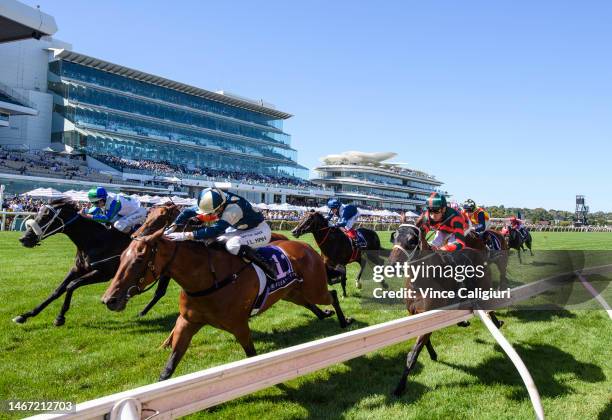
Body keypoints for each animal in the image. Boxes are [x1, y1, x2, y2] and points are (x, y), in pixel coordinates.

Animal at [16, 197, 170, 324]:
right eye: (38, 213)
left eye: (46, 216)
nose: (24, 239)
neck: (94, 240)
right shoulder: (77, 268)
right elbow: (57, 290)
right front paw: (26, 315)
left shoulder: (103, 273)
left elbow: (71, 285)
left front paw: (60, 317)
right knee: (160, 292)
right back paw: (142, 312)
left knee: (160, 292)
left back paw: (142, 312)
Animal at [102, 226, 352, 380]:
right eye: (121, 257)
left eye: (140, 259)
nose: (109, 299)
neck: (207, 279)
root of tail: (307, 247)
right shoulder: (187, 322)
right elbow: (169, 366)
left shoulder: (240, 326)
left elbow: (252, 357)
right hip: (292, 292)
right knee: (311, 302)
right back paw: (324, 314)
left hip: (313, 288)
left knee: (331, 294)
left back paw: (343, 320)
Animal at [388, 221, 502, 396]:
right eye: (394, 237)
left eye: (411, 240)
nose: (392, 264)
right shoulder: (414, 315)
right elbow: (424, 341)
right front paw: (433, 354)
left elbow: (413, 354)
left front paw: (400, 387)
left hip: (484, 287)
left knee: (490, 308)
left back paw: (496, 323)